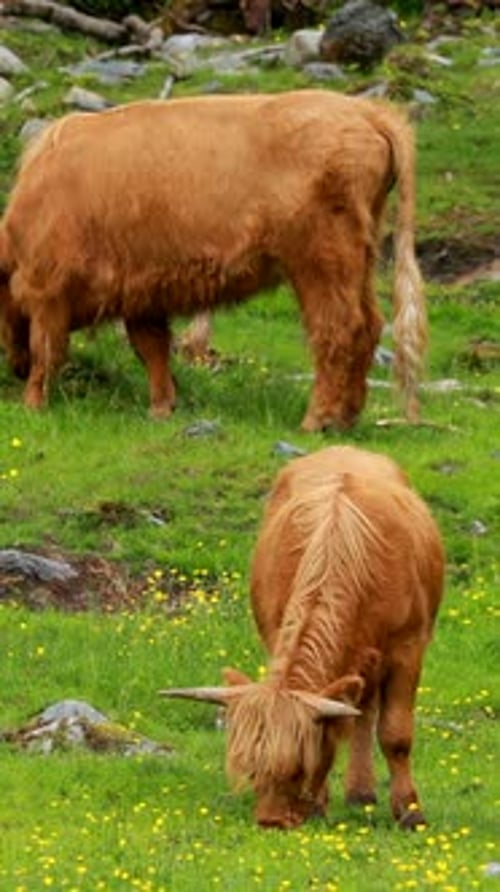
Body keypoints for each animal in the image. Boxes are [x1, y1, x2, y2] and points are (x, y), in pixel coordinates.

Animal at [0, 90, 426, 430]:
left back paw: (316, 419)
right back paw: (347, 417)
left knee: (339, 329)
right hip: (359, 257)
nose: (14, 370)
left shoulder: (48, 288)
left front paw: (33, 403)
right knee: (370, 325)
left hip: (320, 259)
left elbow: (47, 349)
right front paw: (162, 407)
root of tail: (366, 112)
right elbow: (151, 349)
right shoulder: (140, 291)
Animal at [160, 445, 445, 829]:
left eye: (298, 767)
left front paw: (411, 812)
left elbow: (396, 734)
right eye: (252, 770)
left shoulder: (408, 648)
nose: (271, 821)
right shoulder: (277, 631)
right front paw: (319, 804)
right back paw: (359, 792)